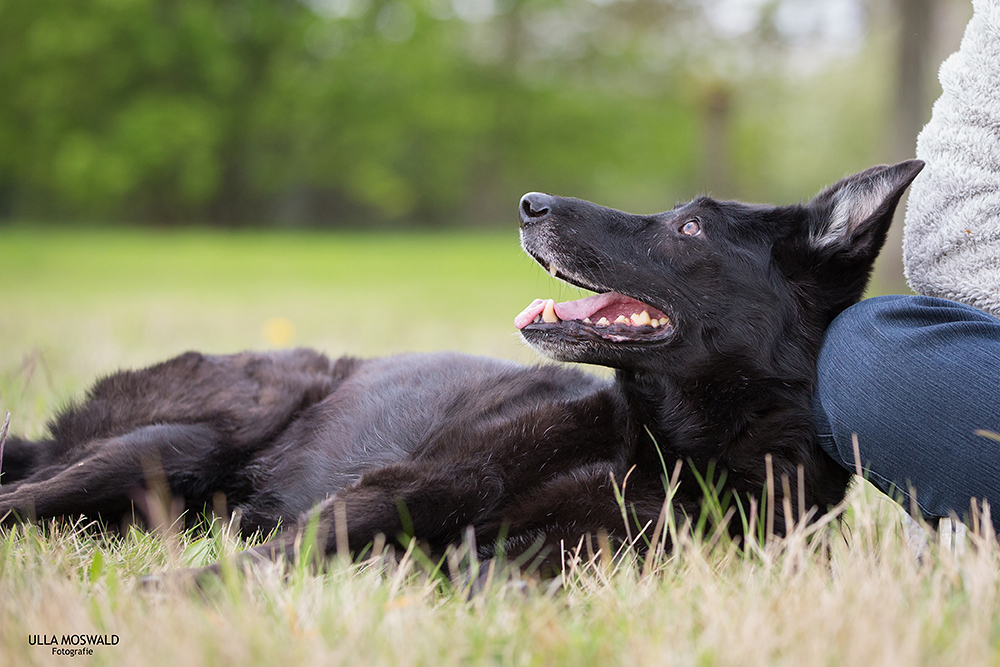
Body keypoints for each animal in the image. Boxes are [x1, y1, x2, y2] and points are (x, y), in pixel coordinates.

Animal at [0, 160, 920, 576]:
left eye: (690, 229)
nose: (530, 204)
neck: (667, 447)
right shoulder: (409, 486)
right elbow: (284, 555)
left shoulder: (547, 559)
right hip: (179, 441)